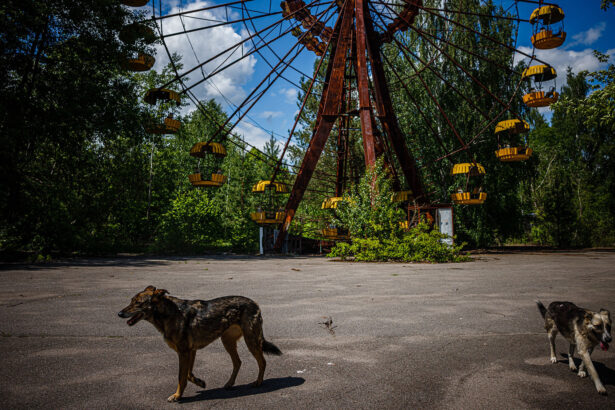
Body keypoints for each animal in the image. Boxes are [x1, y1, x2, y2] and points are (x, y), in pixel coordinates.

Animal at [118, 286, 282, 402]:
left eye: (138, 303)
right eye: (131, 300)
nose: (119, 313)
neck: (169, 314)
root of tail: (254, 303)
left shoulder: (184, 352)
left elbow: (181, 376)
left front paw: (177, 396)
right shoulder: (190, 351)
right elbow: (188, 374)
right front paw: (199, 382)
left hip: (251, 341)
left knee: (262, 361)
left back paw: (258, 382)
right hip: (227, 341)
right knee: (238, 362)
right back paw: (230, 383)